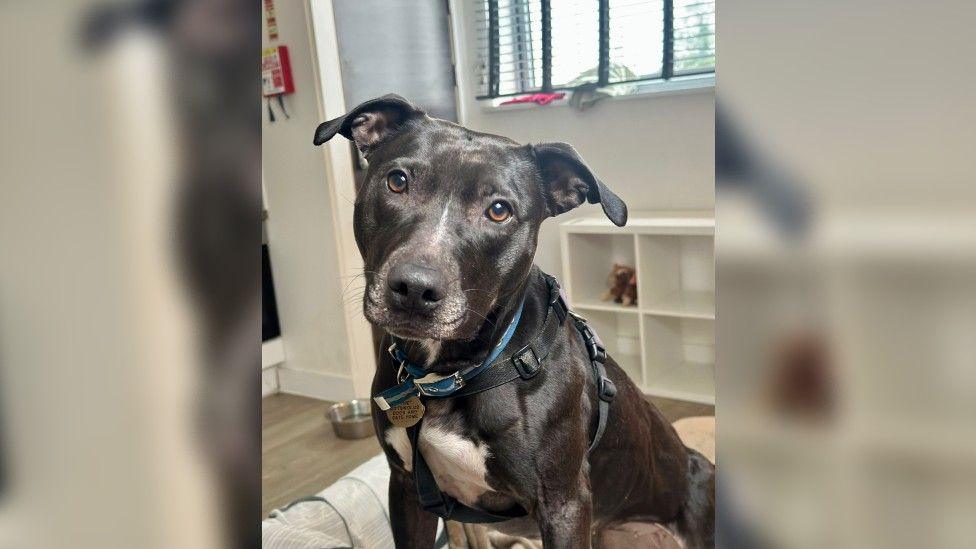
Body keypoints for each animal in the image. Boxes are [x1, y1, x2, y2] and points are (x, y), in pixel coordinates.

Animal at [316, 95, 712, 548]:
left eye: (499, 210)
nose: (415, 288)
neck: (448, 374)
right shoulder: (406, 489)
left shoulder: (563, 506)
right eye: (397, 182)